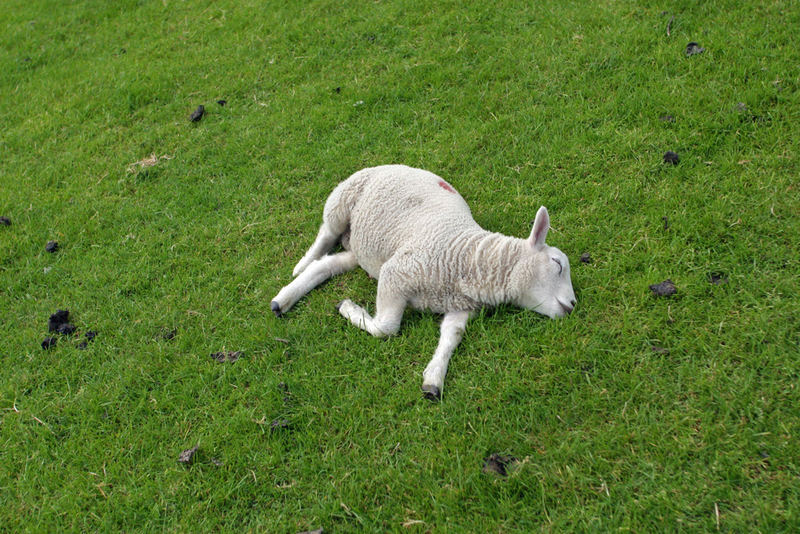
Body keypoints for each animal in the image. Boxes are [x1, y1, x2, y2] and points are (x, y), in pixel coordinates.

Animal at [274, 165, 576, 400]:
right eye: (558, 264)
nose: (573, 304)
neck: (469, 257)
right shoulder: (396, 273)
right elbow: (386, 329)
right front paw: (349, 308)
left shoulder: (460, 307)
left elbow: (452, 335)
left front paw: (433, 378)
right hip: (341, 202)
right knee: (325, 235)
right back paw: (301, 265)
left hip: (365, 251)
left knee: (327, 266)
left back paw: (283, 300)